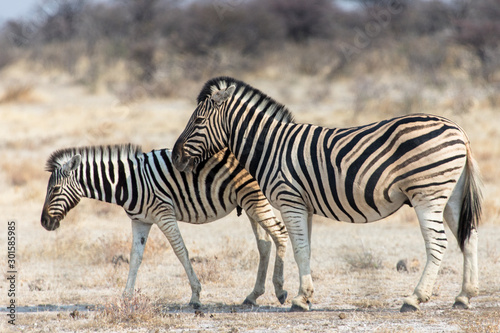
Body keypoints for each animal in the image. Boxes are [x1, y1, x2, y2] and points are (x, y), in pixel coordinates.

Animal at [41, 144, 288, 308]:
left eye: (54, 190)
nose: (44, 223)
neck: (128, 182)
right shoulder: (140, 220)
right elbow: (135, 257)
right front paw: (126, 297)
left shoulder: (163, 213)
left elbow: (181, 251)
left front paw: (196, 295)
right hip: (248, 203)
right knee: (265, 244)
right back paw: (253, 295)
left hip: (255, 198)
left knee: (280, 233)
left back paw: (282, 291)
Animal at [173, 76, 484, 312]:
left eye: (198, 120)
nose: (175, 158)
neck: (271, 147)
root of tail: (459, 130)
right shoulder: (304, 205)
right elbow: (306, 249)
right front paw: (306, 296)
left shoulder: (290, 201)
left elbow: (299, 249)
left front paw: (299, 299)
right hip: (451, 196)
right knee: (468, 237)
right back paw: (464, 296)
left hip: (427, 195)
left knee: (438, 243)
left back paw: (414, 298)